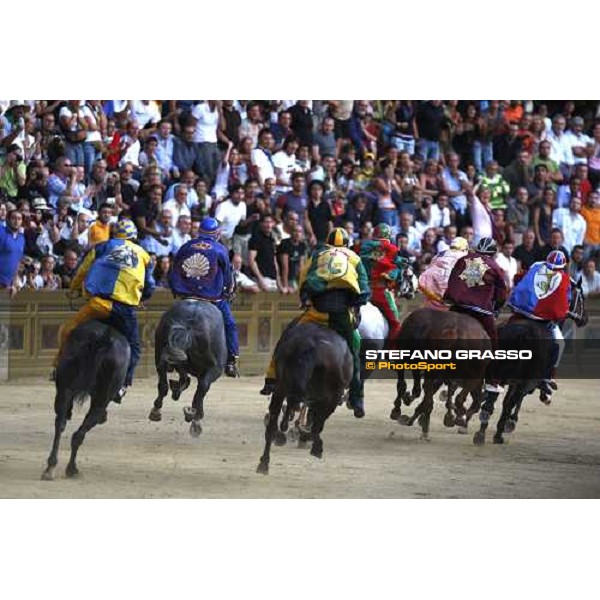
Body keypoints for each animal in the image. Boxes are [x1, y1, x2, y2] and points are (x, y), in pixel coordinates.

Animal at [41, 322, 130, 480]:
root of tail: (102, 338)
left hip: (65, 388)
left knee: (61, 424)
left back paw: (51, 467)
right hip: (101, 399)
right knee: (81, 431)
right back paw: (71, 468)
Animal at [149, 300, 226, 436]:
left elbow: (185, 380)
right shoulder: (213, 370)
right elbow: (200, 388)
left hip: (160, 354)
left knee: (163, 383)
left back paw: (158, 410)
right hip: (214, 368)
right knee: (201, 389)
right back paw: (194, 418)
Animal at [256, 322, 352, 476]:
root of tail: (310, 347)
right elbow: (315, 421)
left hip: (283, 388)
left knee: (273, 424)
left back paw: (265, 462)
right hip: (327, 396)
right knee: (313, 421)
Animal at [476, 278, 588, 446]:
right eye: (582, 298)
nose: (585, 319)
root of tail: (522, 333)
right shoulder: (525, 382)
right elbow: (515, 401)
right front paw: (510, 423)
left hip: (496, 374)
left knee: (490, 402)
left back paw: (480, 433)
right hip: (523, 379)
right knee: (509, 401)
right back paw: (499, 432)